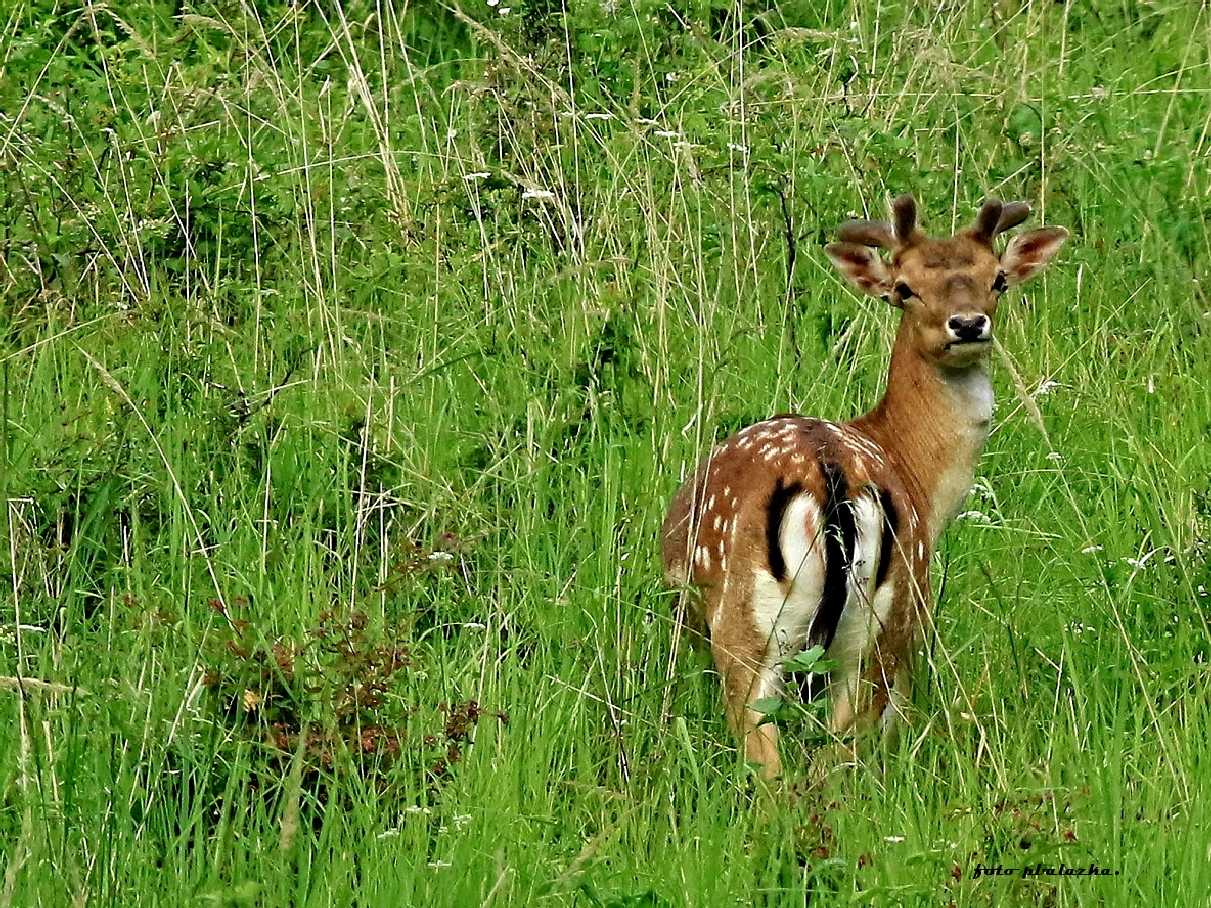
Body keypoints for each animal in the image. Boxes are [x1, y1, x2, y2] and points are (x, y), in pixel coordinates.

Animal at [658, 196, 1065, 779]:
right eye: (905, 288)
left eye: (999, 279)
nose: (968, 324)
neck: (918, 478)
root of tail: (829, 482)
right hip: (875, 625)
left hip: (752, 625)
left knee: (775, 763)